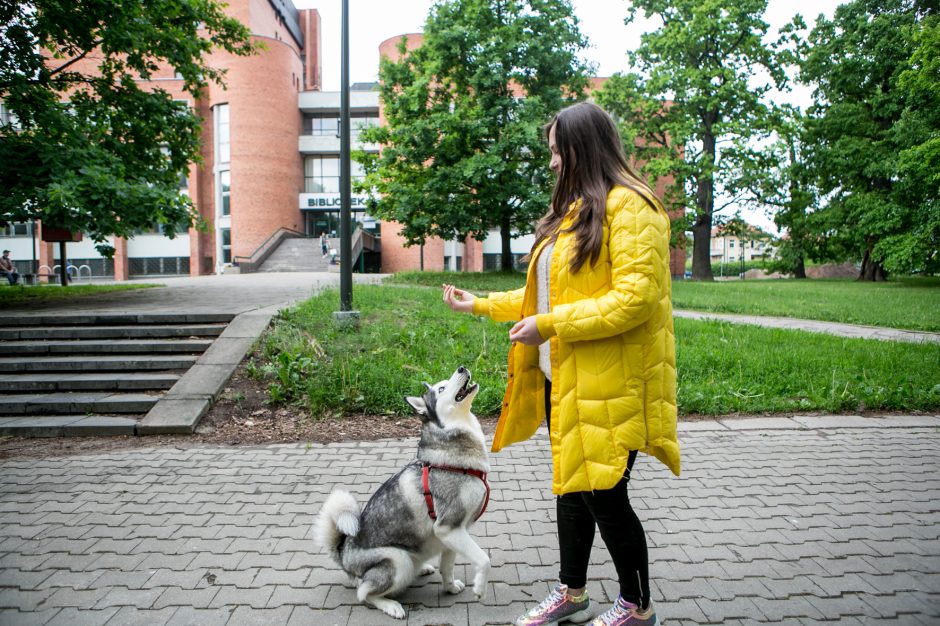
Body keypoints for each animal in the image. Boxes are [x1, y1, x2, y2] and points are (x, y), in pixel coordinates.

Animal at [314, 364, 492, 616]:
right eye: (441, 388)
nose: (461, 367)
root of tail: (343, 553)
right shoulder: (449, 528)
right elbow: (484, 560)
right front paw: (479, 588)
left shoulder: (452, 535)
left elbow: (447, 567)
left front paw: (449, 588)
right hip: (398, 560)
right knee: (364, 593)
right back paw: (390, 605)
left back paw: (424, 568)